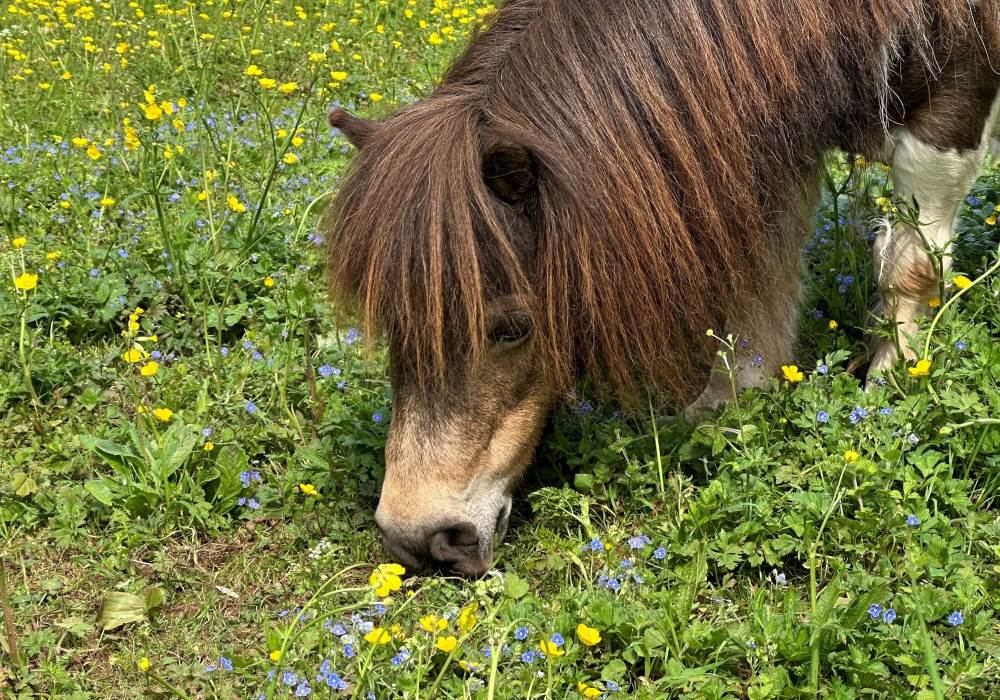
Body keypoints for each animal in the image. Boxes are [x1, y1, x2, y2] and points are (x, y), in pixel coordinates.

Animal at [323, 0, 1000, 576]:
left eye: (511, 328)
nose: (419, 541)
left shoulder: (951, 113)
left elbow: (908, 266)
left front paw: (891, 390)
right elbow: (758, 272)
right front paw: (728, 404)